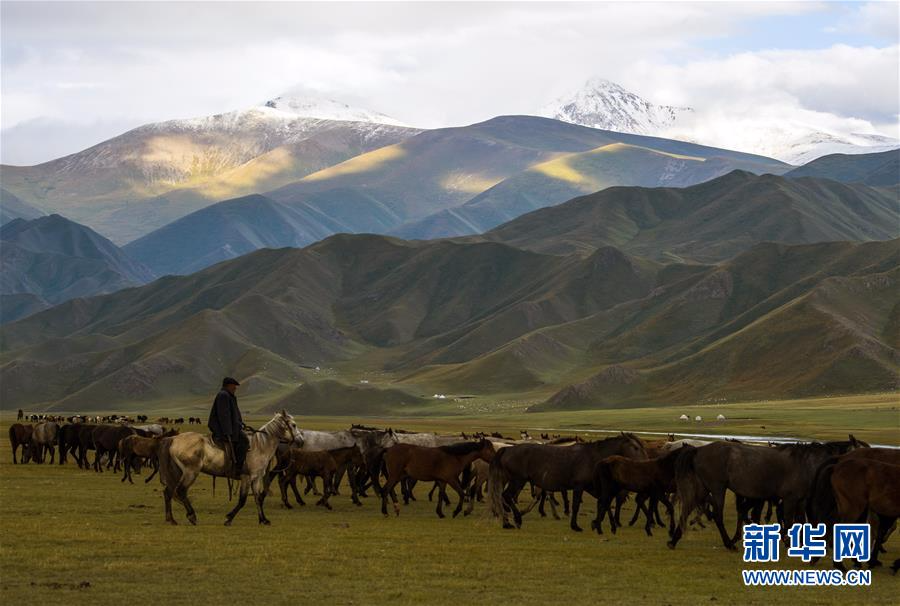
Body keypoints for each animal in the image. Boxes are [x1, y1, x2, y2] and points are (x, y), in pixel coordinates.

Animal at [488, 434, 652, 536]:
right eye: (636, 448)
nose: (646, 461)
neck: (593, 458)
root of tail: (507, 448)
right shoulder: (579, 486)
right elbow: (576, 505)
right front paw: (576, 526)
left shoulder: (593, 488)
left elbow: (604, 504)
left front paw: (601, 524)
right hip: (518, 480)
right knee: (507, 496)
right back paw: (516, 519)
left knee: (503, 497)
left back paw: (507, 523)